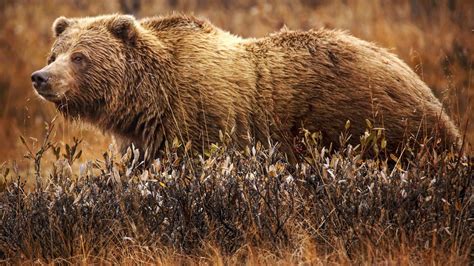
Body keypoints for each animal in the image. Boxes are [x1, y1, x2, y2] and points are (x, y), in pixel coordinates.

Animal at [30, 14, 460, 160]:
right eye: (55, 53)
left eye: (80, 56)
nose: (41, 77)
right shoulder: (146, 138)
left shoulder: (203, 120)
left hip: (376, 124)